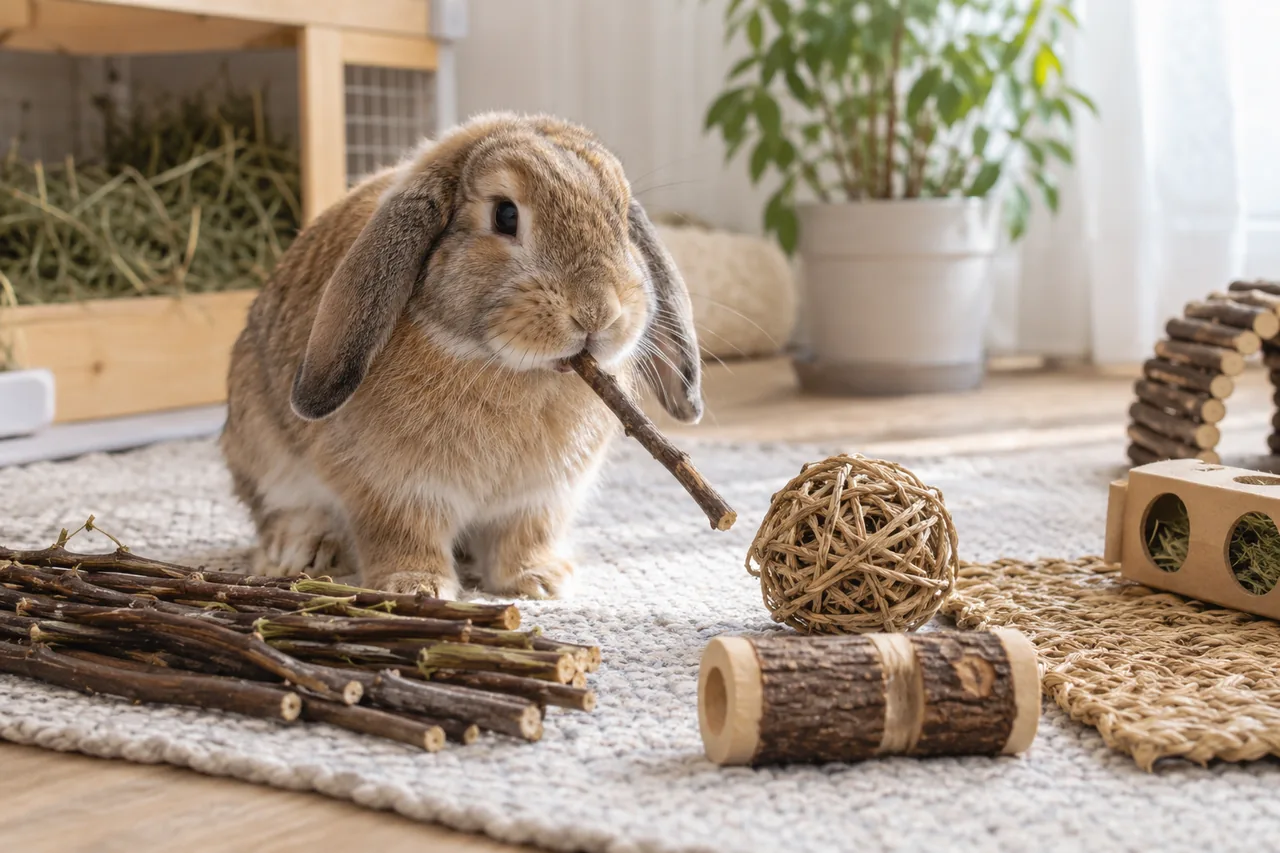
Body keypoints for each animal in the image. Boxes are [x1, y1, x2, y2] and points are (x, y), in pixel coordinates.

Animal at [220, 112, 703, 599]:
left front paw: (540, 580)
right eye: (505, 214)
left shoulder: (540, 497)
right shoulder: (390, 489)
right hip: (262, 449)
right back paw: (300, 552)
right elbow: (401, 534)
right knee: (281, 510)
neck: (503, 366)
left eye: (621, 218)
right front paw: (416, 587)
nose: (598, 313)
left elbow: (526, 535)